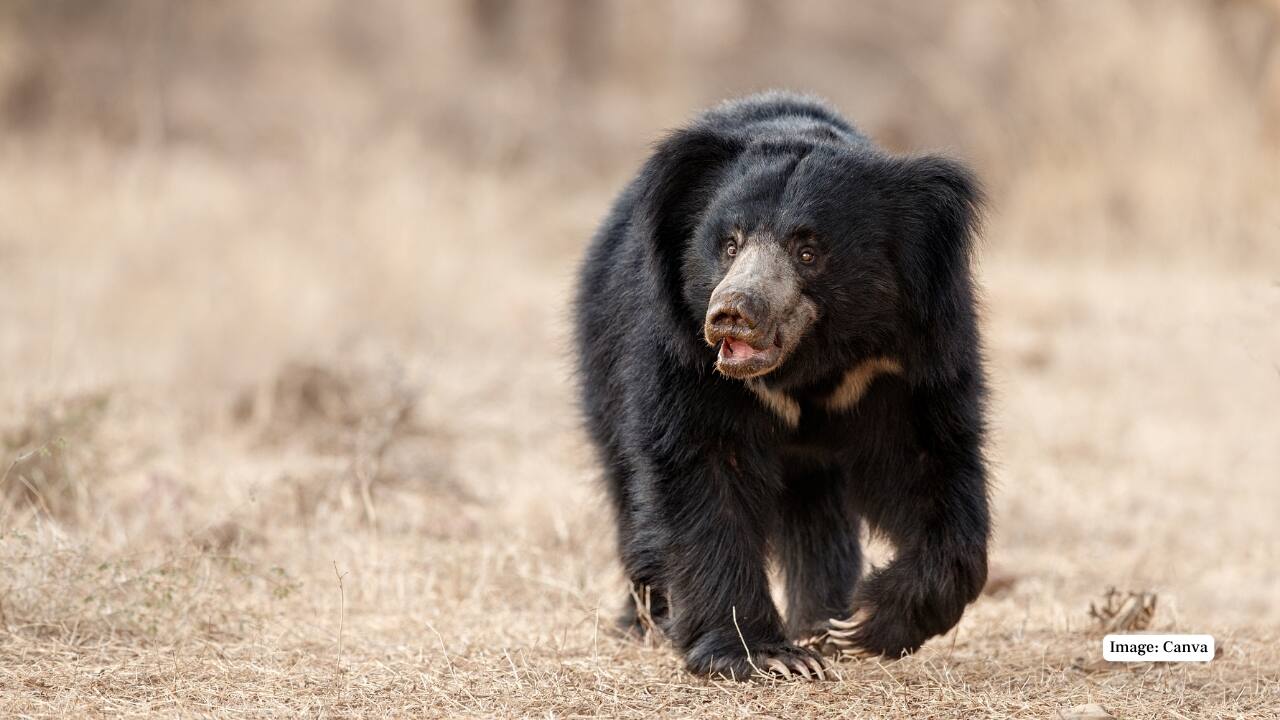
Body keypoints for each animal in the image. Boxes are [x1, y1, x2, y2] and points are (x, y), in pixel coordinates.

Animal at [573, 92, 990, 681]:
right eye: (729, 244)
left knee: (818, 515)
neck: (806, 366)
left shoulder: (906, 359)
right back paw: (646, 620)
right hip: (602, 361)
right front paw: (767, 655)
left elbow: (928, 463)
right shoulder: (683, 357)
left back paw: (821, 620)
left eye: (808, 251)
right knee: (627, 488)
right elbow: (703, 473)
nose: (732, 315)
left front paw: (862, 623)